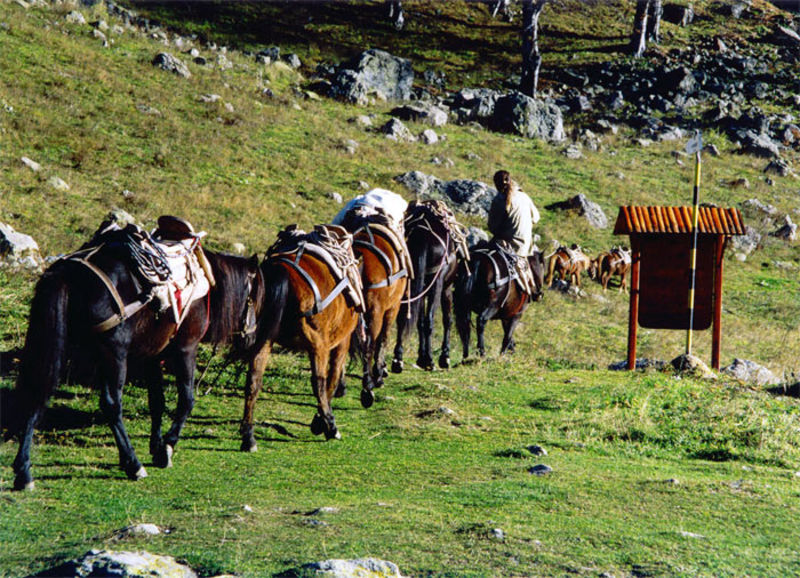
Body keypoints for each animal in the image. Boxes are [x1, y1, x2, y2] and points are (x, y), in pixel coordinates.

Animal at [9, 220, 264, 490]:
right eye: (255, 299)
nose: (251, 338)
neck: (208, 283)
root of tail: (67, 273)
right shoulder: (186, 348)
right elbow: (186, 400)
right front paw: (167, 446)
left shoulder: (152, 356)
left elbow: (157, 402)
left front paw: (156, 446)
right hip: (114, 354)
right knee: (111, 404)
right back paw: (133, 464)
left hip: (64, 349)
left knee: (36, 393)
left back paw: (24, 471)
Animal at [239, 225, 361, 450]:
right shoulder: (341, 342)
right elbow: (332, 379)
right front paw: (321, 422)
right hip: (318, 345)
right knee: (318, 382)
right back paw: (332, 428)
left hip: (264, 341)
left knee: (253, 381)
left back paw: (248, 436)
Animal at [337, 208, 410, 409]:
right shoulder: (391, 309)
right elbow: (382, 339)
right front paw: (379, 373)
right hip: (375, 313)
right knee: (369, 345)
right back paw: (367, 387)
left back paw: (341, 385)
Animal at [391, 200, 467, 373]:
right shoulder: (446, 289)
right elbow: (446, 319)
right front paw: (443, 357)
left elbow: (419, 322)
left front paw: (421, 357)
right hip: (436, 285)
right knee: (430, 319)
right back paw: (430, 360)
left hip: (410, 283)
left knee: (404, 318)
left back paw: (398, 359)